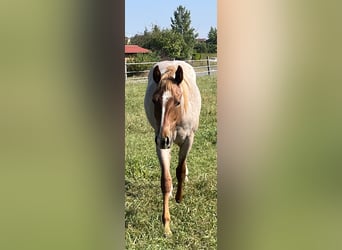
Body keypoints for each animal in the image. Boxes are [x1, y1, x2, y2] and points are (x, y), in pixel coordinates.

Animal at [144, 61, 200, 236]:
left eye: (177, 102)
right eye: (154, 100)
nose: (164, 139)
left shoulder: (188, 140)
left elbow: (180, 170)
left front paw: (179, 198)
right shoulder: (161, 144)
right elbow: (166, 181)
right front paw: (166, 225)